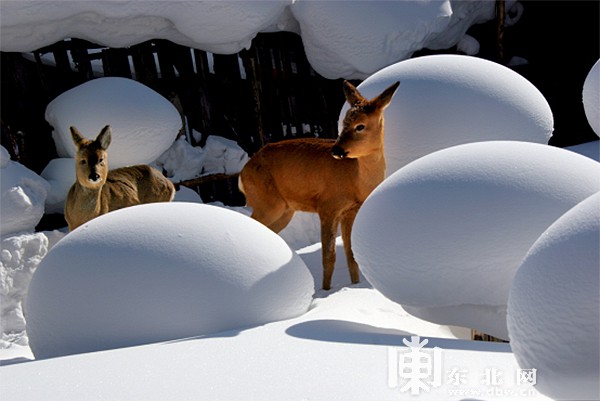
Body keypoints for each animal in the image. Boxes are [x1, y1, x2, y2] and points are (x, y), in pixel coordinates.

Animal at [238, 79, 398, 290]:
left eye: (360, 126)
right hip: (267, 203)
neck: (357, 181)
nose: (336, 150)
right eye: (344, 122)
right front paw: (326, 291)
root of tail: (242, 173)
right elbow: (329, 256)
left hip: (285, 210)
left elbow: (351, 256)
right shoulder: (327, 206)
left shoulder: (351, 211)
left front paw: (354, 285)